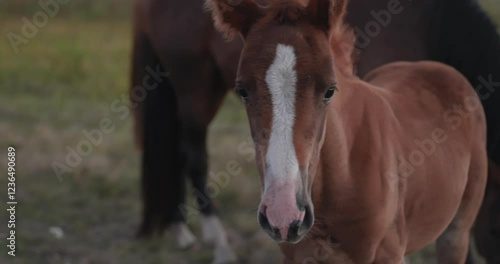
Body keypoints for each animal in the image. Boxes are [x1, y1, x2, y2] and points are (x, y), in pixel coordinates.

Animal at [130, 0, 500, 262]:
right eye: (243, 90)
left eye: (329, 90)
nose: (284, 215)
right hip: (194, 84)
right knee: (192, 154)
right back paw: (216, 243)